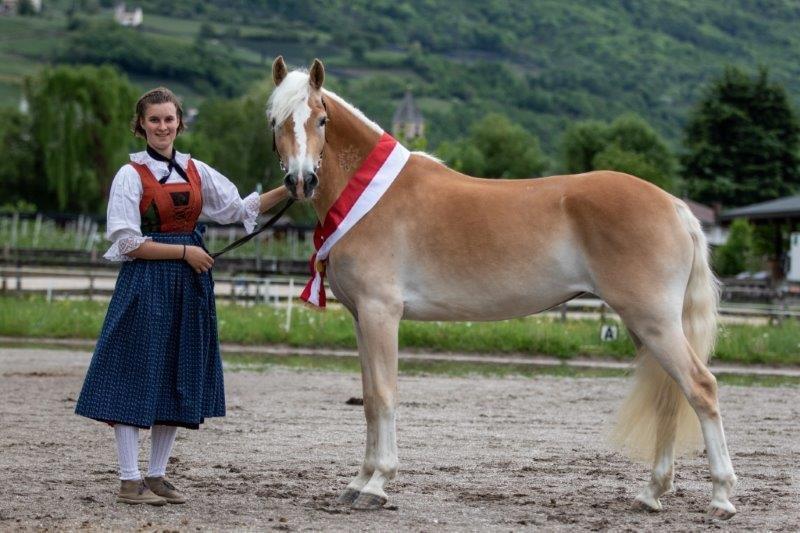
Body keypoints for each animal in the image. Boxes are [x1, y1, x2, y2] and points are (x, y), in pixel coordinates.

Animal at [266, 56, 737, 519]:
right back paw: (652, 492)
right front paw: (358, 481)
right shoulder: (361, 318)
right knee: (669, 396)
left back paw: (721, 496)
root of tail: (674, 205)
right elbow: (367, 399)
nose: (301, 181)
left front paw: (377, 484)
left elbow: (384, 396)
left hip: (655, 321)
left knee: (701, 387)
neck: (370, 196)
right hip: (646, 325)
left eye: (321, 119)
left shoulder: (382, 313)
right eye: (275, 120)